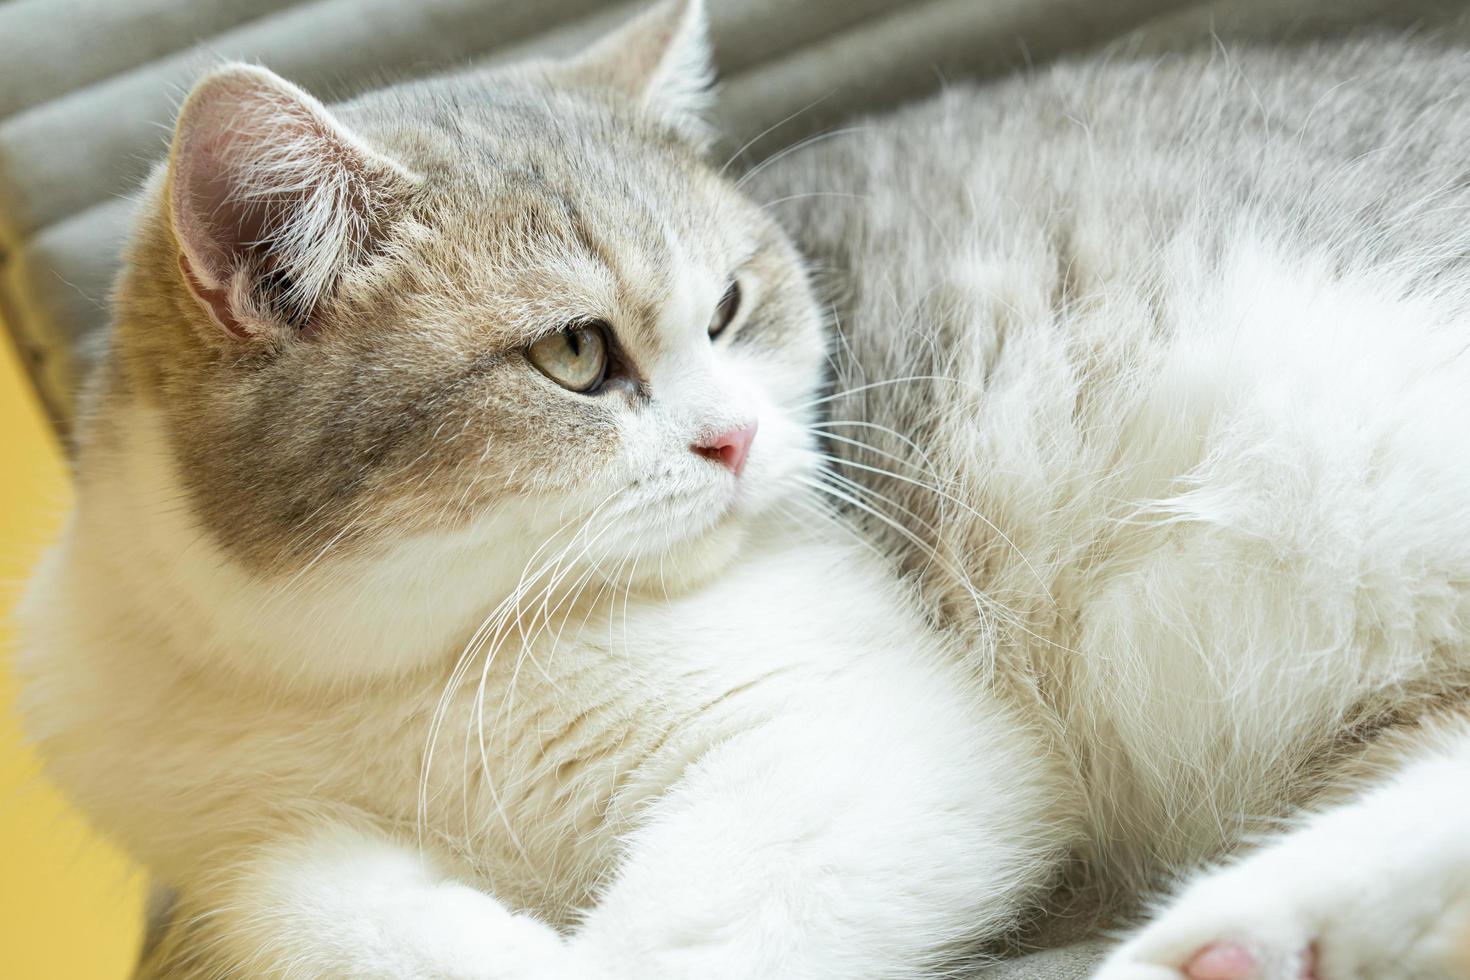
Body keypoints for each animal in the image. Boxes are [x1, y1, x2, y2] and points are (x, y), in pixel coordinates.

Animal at [17, 1, 1470, 980]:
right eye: (574, 353)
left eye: (727, 306)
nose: (737, 440)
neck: (366, 680)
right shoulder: (222, 847)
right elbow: (287, 898)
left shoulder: (874, 735)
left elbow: (669, 945)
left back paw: (1236, 931)